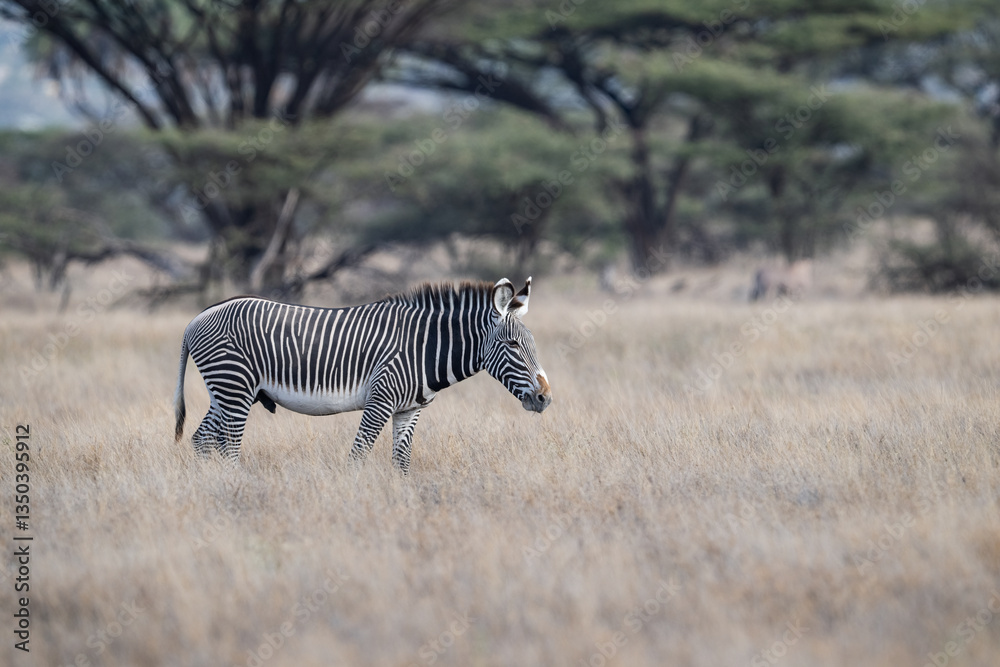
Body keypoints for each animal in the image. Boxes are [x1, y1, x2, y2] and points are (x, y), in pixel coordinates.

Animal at [173, 277, 551, 472]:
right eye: (513, 344)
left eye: (533, 343)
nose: (545, 398)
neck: (424, 347)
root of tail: (195, 319)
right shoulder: (380, 401)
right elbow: (358, 455)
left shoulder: (409, 409)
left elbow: (402, 461)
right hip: (234, 388)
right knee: (228, 447)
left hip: (228, 392)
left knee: (201, 440)